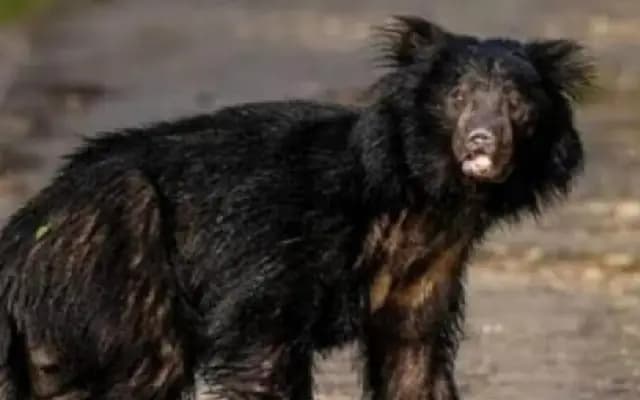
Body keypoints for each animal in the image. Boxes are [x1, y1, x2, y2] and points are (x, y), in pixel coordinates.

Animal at [0, 15, 595, 400]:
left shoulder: (429, 268)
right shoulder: (278, 246)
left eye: (516, 103)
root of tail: (21, 234)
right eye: (459, 97)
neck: (423, 196)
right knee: (149, 365)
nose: (482, 142)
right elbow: (263, 350)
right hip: (117, 247)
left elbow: (413, 364)